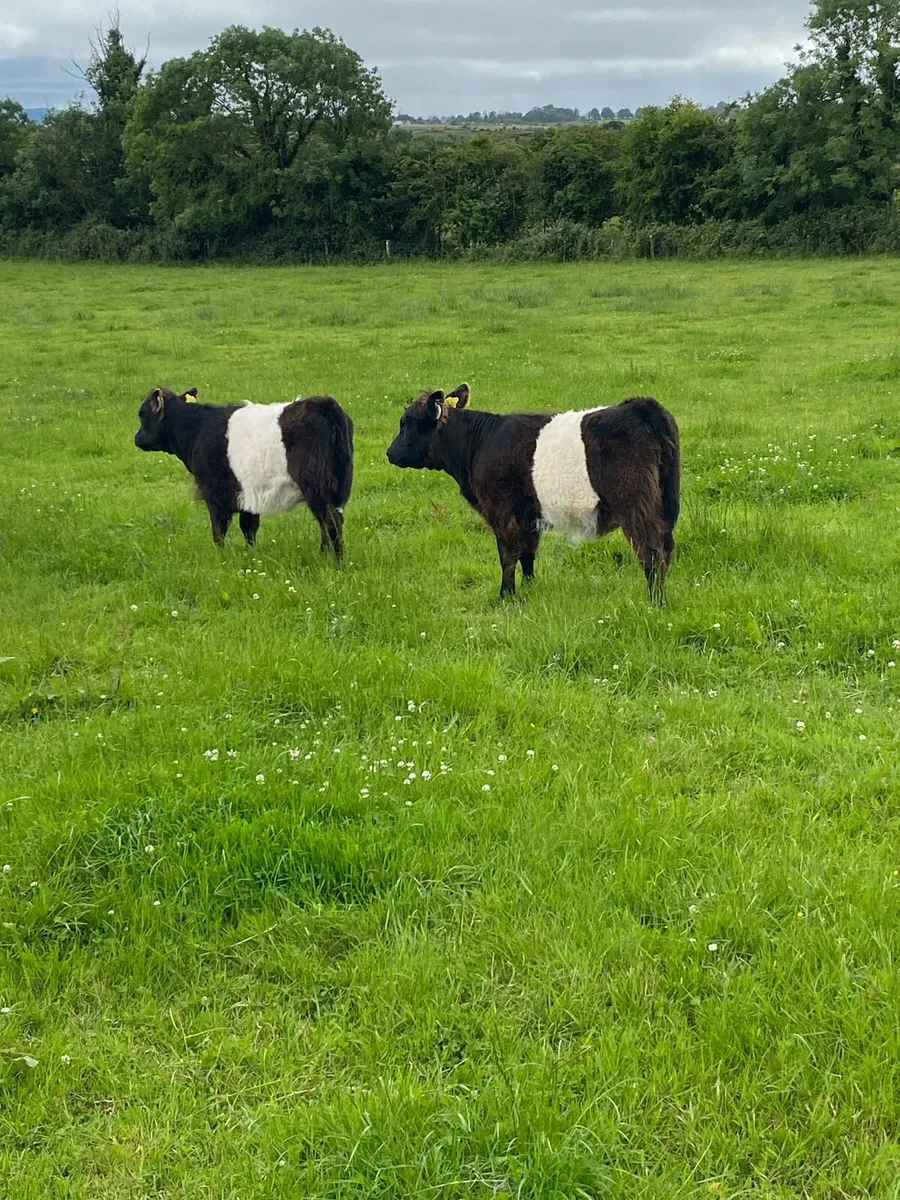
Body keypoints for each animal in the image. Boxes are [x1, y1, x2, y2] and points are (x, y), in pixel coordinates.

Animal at [134, 387, 353, 557]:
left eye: (142, 413)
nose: (137, 438)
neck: (197, 429)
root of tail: (323, 403)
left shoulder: (213, 492)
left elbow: (219, 529)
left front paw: (221, 556)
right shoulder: (248, 492)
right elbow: (249, 526)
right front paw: (251, 554)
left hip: (315, 484)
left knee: (330, 521)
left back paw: (337, 562)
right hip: (337, 485)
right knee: (330, 520)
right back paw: (323, 555)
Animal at [386, 385, 680, 602]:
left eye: (407, 423)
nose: (389, 453)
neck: (478, 443)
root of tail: (637, 405)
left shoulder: (502, 511)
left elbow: (507, 555)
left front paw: (505, 595)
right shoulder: (528, 515)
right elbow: (527, 554)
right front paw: (529, 588)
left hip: (635, 503)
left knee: (651, 551)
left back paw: (655, 601)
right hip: (660, 504)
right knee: (666, 548)